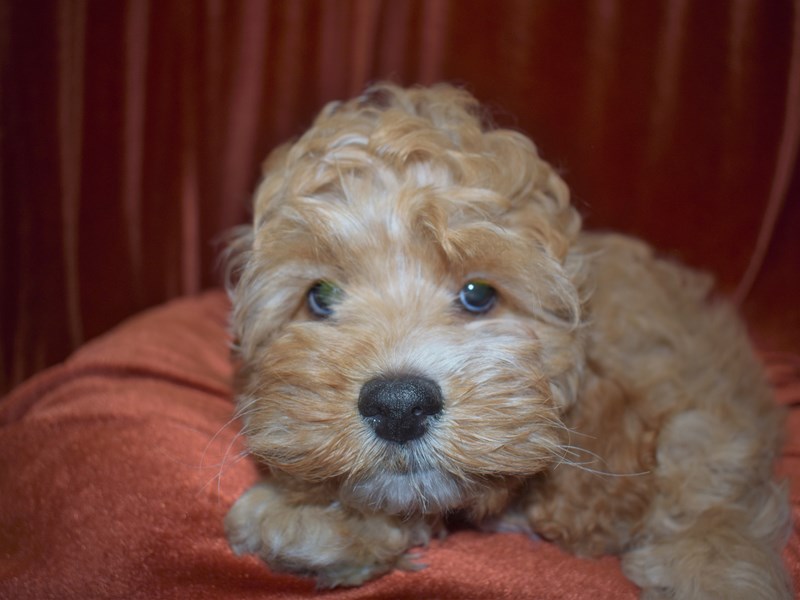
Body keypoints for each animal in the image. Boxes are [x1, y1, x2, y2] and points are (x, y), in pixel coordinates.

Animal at [222, 82, 792, 596]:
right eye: (320, 296)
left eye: (478, 294)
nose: (398, 405)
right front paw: (318, 518)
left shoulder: (709, 427)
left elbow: (709, 512)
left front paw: (713, 565)